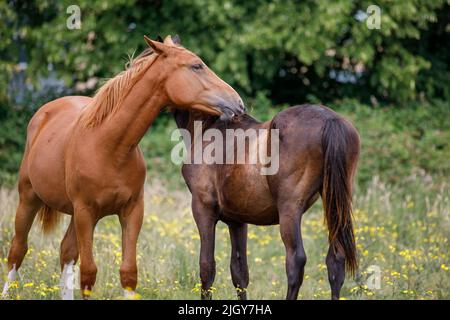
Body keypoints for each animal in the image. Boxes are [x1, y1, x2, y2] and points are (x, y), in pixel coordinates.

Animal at [1, 35, 244, 300]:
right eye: (196, 66)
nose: (238, 104)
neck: (109, 147)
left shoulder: (132, 211)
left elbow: (128, 272)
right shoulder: (85, 212)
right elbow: (88, 273)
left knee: (66, 253)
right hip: (29, 198)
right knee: (17, 251)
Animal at [174, 105, 360, 300]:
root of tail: (329, 120)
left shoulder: (203, 210)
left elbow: (207, 267)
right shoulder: (237, 221)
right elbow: (239, 272)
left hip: (290, 210)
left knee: (296, 261)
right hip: (334, 207)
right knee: (336, 259)